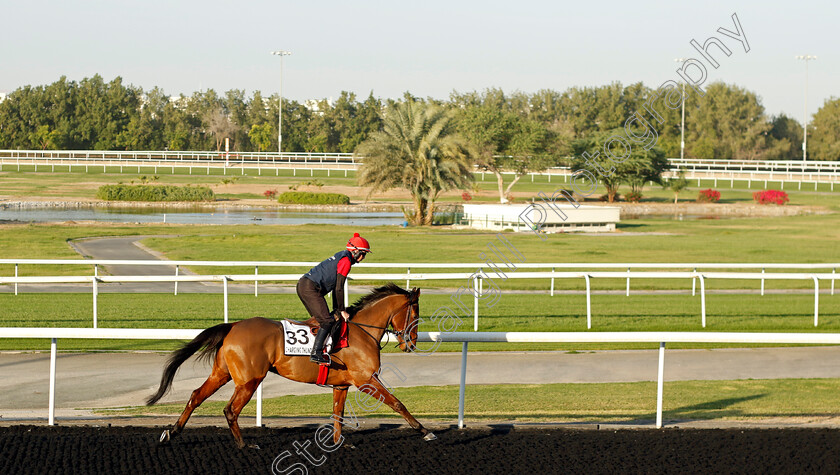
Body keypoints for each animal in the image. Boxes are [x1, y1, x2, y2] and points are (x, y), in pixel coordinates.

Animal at [147, 284, 434, 452]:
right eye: (416, 314)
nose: (411, 343)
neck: (361, 331)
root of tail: (233, 325)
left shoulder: (342, 385)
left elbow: (338, 414)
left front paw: (338, 443)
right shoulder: (366, 380)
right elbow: (397, 403)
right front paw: (425, 431)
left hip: (222, 373)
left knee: (196, 396)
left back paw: (171, 432)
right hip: (250, 379)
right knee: (230, 410)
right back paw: (243, 445)